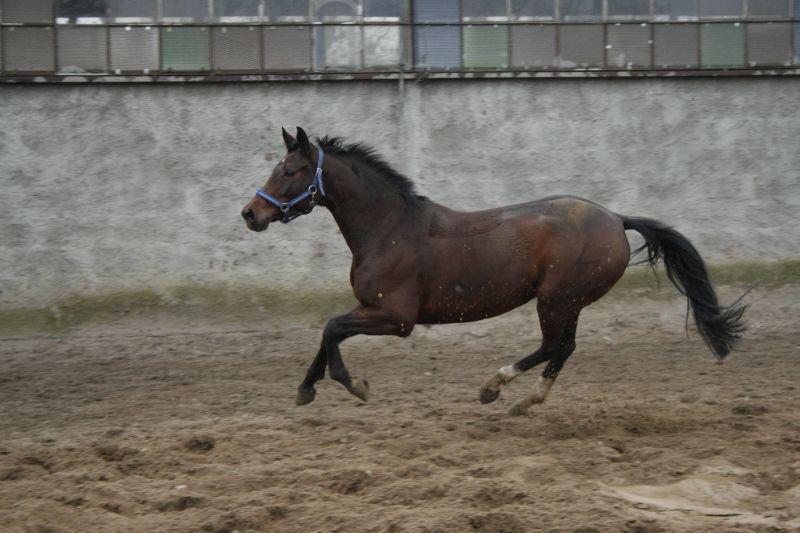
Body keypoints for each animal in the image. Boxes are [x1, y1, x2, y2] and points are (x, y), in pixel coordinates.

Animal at [241, 127, 748, 414]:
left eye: (290, 170)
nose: (250, 214)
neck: (389, 228)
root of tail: (616, 219)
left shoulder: (397, 318)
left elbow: (331, 329)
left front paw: (356, 386)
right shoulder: (368, 308)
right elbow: (326, 335)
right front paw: (305, 390)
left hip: (558, 298)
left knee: (554, 345)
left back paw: (494, 387)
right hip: (568, 301)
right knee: (563, 348)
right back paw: (525, 401)